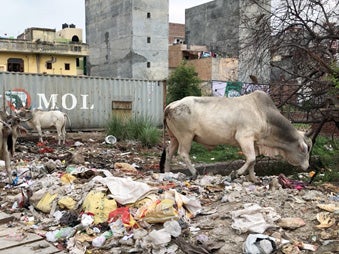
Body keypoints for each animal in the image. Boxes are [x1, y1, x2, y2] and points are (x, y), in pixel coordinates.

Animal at [161, 91, 314, 183]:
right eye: (305, 149)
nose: (307, 166)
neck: (264, 115)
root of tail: (171, 105)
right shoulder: (244, 137)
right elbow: (251, 159)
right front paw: (235, 174)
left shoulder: (254, 142)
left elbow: (253, 162)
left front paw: (254, 179)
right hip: (185, 136)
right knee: (183, 153)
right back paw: (194, 172)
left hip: (174, 138)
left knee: (169, 152)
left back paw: (167, 173)